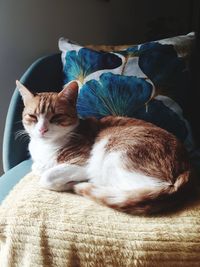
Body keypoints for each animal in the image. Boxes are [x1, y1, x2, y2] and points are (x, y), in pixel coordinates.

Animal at [16, 80, 195, 216]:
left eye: (56, 117)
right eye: (32, 116)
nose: (42, 130)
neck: (45, 147)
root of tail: (186, 169)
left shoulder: (82, 163)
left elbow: (46, 177)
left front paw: (66, 182)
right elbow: (37, 168)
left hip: (114, 152)